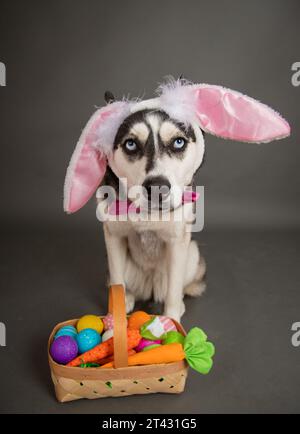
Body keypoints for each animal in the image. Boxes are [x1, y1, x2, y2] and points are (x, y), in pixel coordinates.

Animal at [63, 79, 290, 322]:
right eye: (131, 144)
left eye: (178, 142)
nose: (157, 187)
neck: (148, 214)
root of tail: (150, 286)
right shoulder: (113, 237)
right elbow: (117, 282)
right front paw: (114, 318)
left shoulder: (177, 242)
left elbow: (173, 289)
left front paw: (171, 320)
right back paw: (128, 298)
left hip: (192, 254)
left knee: (180, 285)